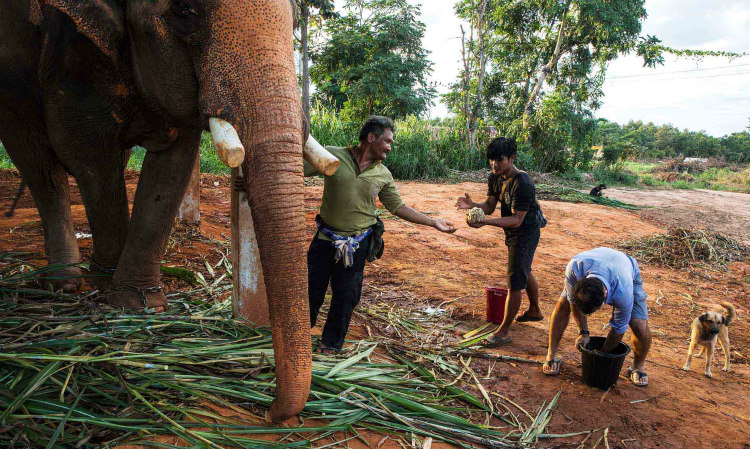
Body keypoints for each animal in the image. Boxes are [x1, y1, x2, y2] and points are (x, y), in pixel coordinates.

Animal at [0, 0, 312, 420]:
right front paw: (113, 294)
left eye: (294, 20)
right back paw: (64, 283)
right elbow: (86, 149)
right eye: (185, 13)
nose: (273, 411)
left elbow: (174, 161)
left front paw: (141, 302)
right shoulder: (70, 51)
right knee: (38, 160)